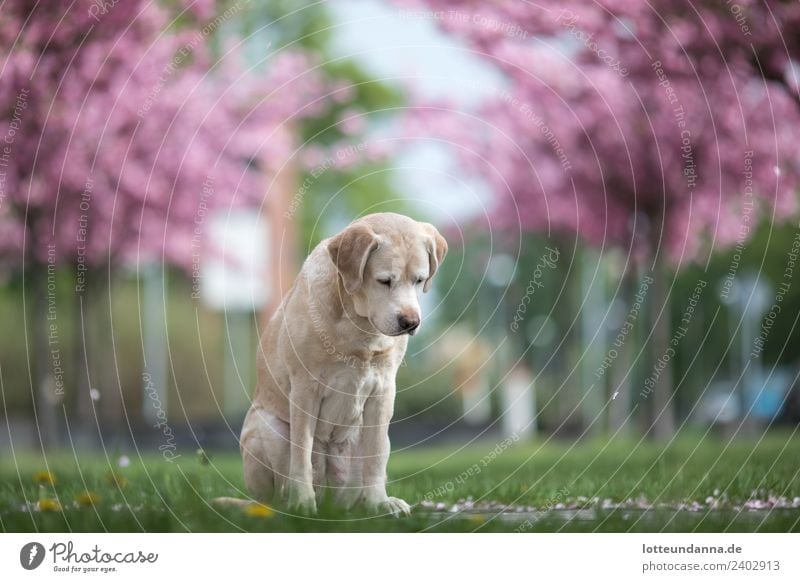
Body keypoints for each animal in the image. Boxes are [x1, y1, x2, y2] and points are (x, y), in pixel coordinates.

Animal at [241, 213, 446, 516]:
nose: (411, 322)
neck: (358, 324)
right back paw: (290, 504)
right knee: (279, 488)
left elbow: (374, 457)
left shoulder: (383, 391)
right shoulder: (304, 389)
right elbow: (301, 453)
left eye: (420, 280)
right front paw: (303, 501)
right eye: (384, 281)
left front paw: (379, 502)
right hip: (268, 427)